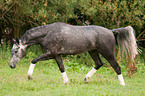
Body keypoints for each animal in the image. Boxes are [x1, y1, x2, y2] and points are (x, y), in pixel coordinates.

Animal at [8, 22, 138, 86]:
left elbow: (34, 60)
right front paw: (66, 81)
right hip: (93, 51)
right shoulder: (57, 55)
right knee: (99, 63)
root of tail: (111, 31)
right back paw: (86, 79)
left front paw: (30, 76)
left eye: (16, 51)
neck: (48, 33)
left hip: (108, 53)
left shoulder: (51, 53)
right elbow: (61, 67)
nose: (10, 65)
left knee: (116, 67)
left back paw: (122, 84)